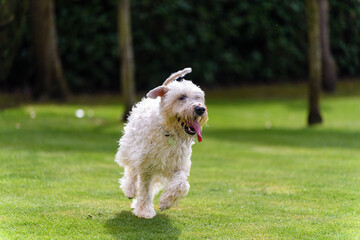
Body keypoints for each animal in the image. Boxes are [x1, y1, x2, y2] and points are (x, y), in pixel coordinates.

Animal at [115, 67, 208, 219]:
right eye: (181, 97)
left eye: (198, 98)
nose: (200, 109)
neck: (168, 131)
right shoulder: (146, 165)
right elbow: (145, 188)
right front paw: (144, 211)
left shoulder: (178, 164)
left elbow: (182, 184)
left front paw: (166, 201)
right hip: (131, 148)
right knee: (132, 170)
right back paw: (130, 189)